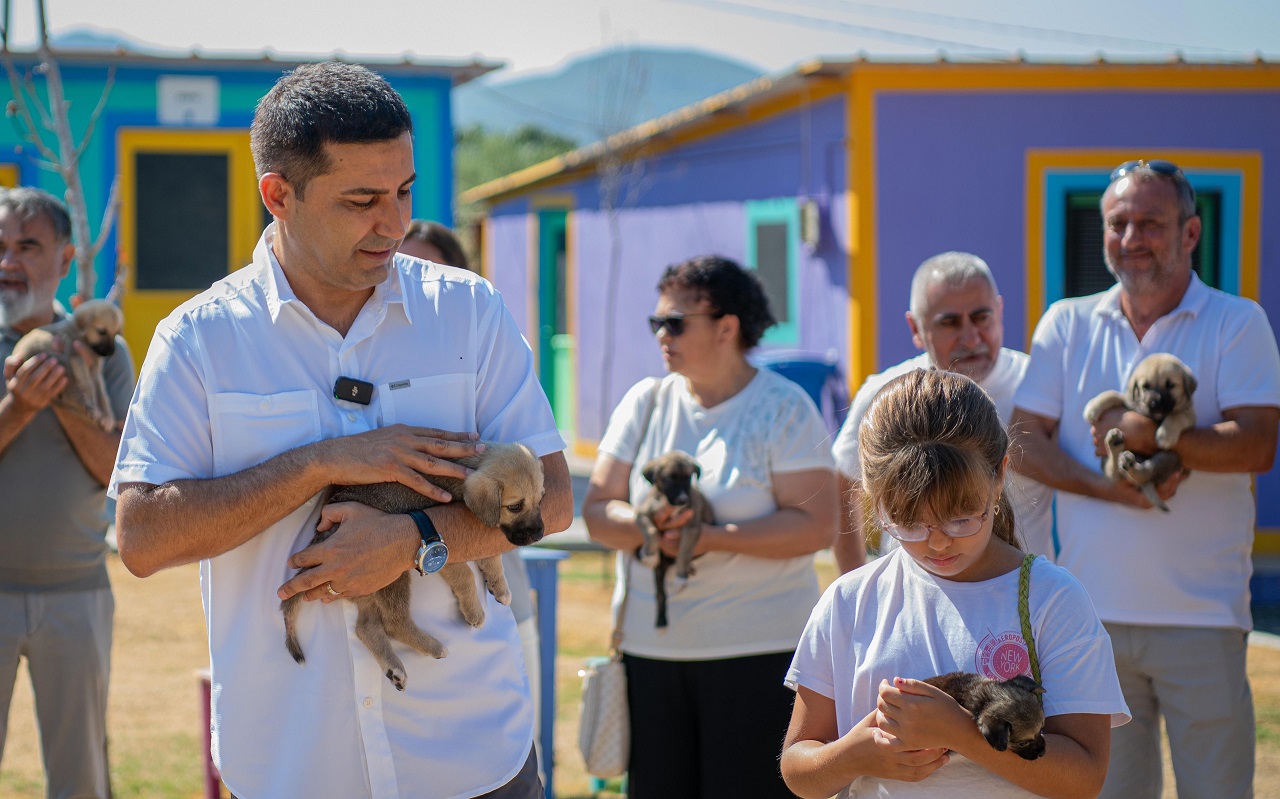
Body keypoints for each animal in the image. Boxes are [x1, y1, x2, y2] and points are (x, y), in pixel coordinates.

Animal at [9, 297, 122, 430]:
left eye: (115, 333)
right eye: (102, 332)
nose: (111, 353)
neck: (78, 333)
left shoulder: (95, 368)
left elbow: (101, 392)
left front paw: (108, 417)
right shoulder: (76, 357)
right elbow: (88, 385)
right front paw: (93, 407)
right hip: (55, 355)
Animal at [280, 440, 545, 691]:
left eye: (541, 498)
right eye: (514, 506)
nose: (539, 534)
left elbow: (492, 557)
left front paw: (499, 586)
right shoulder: (445, 550)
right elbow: (465, 574)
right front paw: (474, 611)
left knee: (366, 627)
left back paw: (395, 669)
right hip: (391, 575)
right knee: (394, 623)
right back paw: (433, 647)